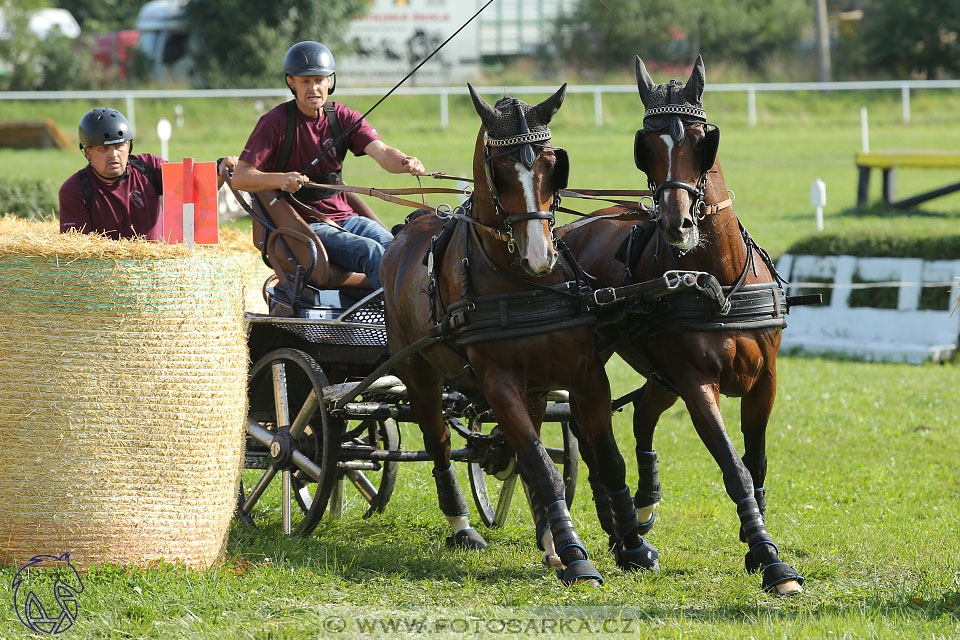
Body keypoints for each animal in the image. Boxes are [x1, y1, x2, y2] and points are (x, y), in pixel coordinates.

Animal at [382, 84, 660, 584]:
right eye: (502, 172)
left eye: (553, 164)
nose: (539, 257)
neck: (520, 281)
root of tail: (406, 230)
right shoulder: (500, 384)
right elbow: (541, 465)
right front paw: (577, 556)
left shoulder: (586, 376)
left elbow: (606, 460)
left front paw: (632, 545)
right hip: (418, 374)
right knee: (439, 444)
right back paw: (463, 526)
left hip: (536, 388)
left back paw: (548, 540)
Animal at [560, 56, 808, 596]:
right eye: (647, 148)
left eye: (701, 141)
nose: (677, 226)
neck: (719, 283)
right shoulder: (697, 383)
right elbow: (733, 468)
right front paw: (770, 558)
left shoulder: (766, 381)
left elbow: (756, 462)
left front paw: (756, 540)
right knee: (590, 428)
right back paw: (623, 526)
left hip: (659, 373)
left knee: (639, 414)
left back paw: (638, 508)